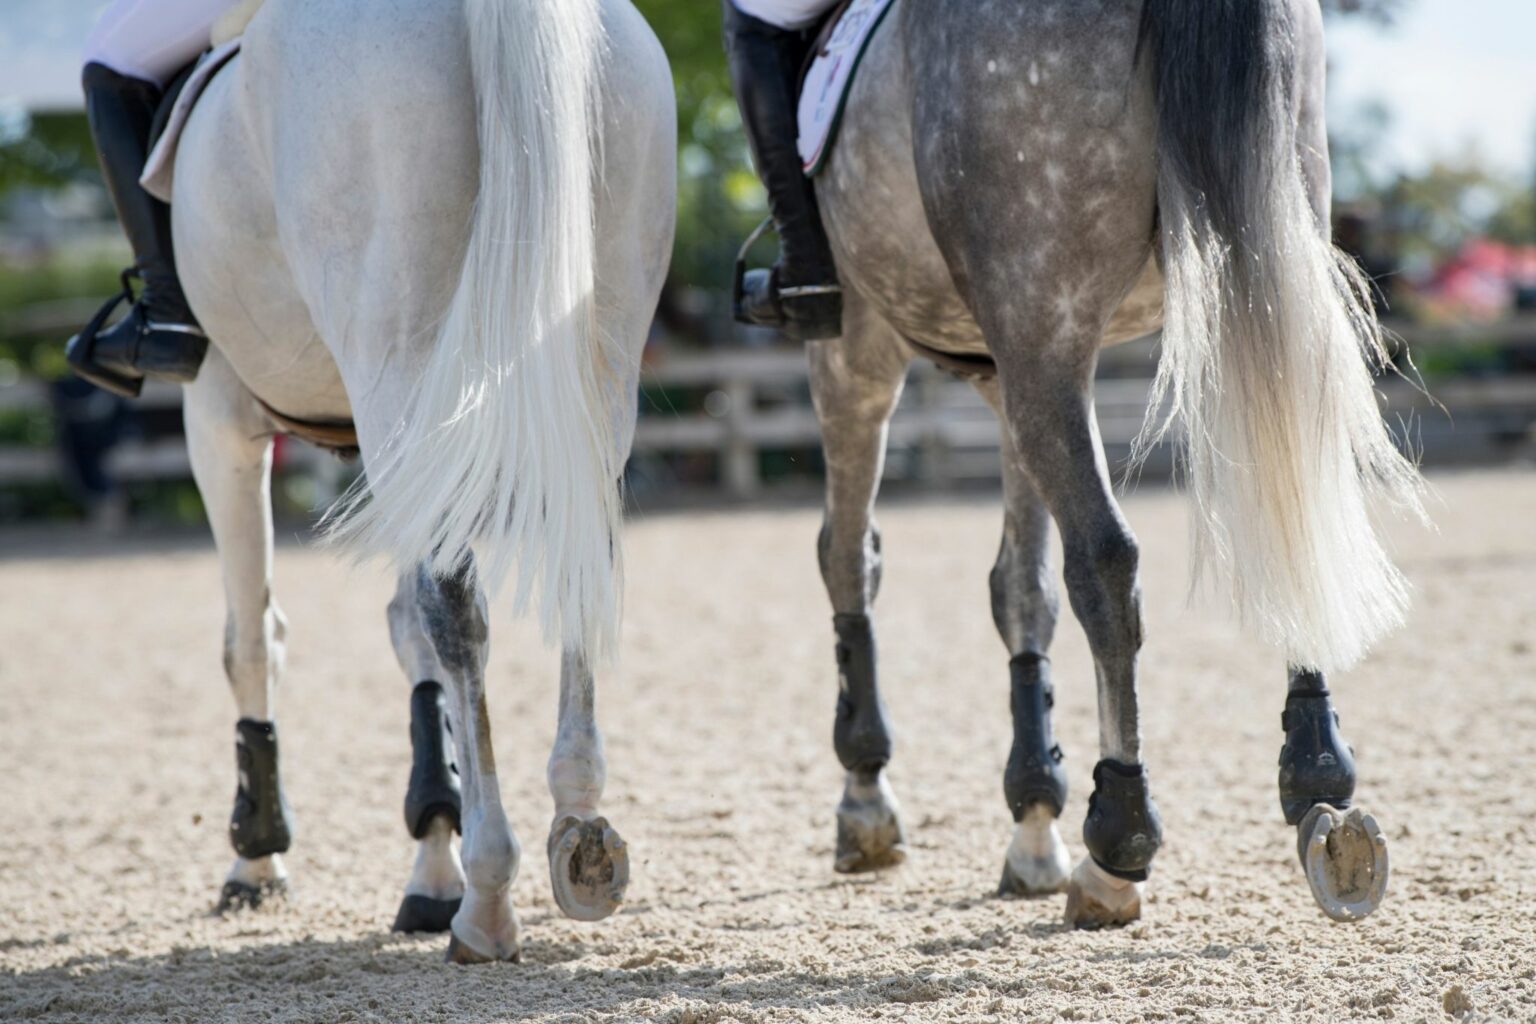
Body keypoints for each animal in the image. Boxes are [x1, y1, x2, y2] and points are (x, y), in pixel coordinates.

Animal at [166, 0, 675, 961]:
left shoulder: (218, 416)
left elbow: (251, 636)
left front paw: (258, 855)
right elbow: (408, 638)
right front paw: (429, 861)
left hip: (393, 358)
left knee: (454, 609)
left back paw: (489, 894)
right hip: (591, 363)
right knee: (573, 568)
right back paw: (579, 832)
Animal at [804, 0, 1422, 927]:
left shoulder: (860, 349)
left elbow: (852, 558)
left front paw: (868, 795)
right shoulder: (1005, 371)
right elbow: (1021, 588)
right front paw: (1032, 820)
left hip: (1033, 324)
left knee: (1104, 561)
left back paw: (1119, 839)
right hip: (1251, 260)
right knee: (1290, 501)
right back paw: (1320, 793)